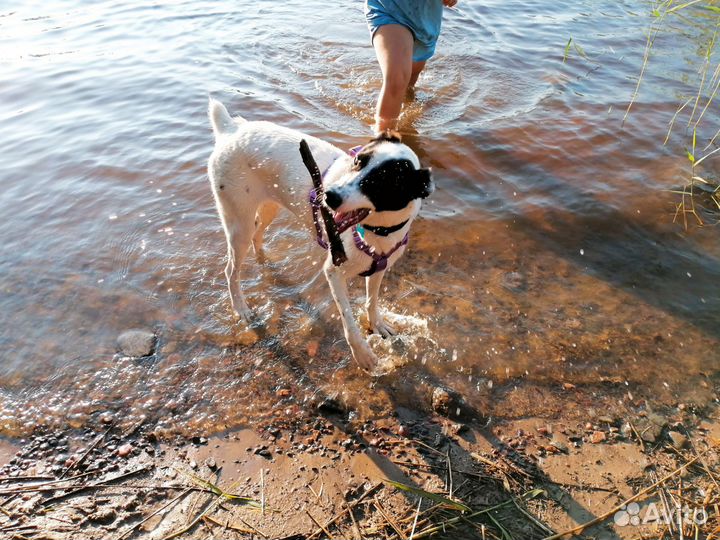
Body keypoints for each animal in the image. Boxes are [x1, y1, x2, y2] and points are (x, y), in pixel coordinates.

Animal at [207, 99, 434, 370]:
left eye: (381, 183)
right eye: (357, 161)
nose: (328, 196)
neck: (377, 231)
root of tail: (232, 128)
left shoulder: (379, 268)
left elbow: (372, 301)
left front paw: (377, 324)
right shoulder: (333, 271)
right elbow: (348, 321)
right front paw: (362, 353)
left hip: (268, 208)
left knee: (257, 236)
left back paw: (264, 261)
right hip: (238, 222)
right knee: (231, 270)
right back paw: (241, 307)